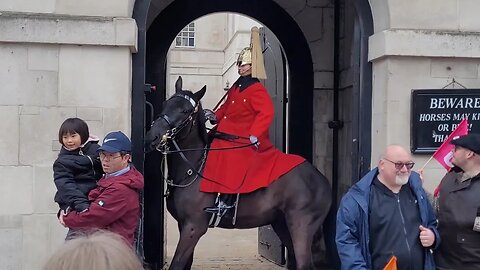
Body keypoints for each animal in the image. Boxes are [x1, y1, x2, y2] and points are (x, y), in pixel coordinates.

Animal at [145, 76, 334, 270]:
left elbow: (176, 264)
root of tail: (320, 178)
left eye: (185, 110)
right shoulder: (182, 224)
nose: (152, 137)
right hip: (282, 224)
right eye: (165, 104)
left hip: (301, 226)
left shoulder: (193, 228)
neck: (193, 168)